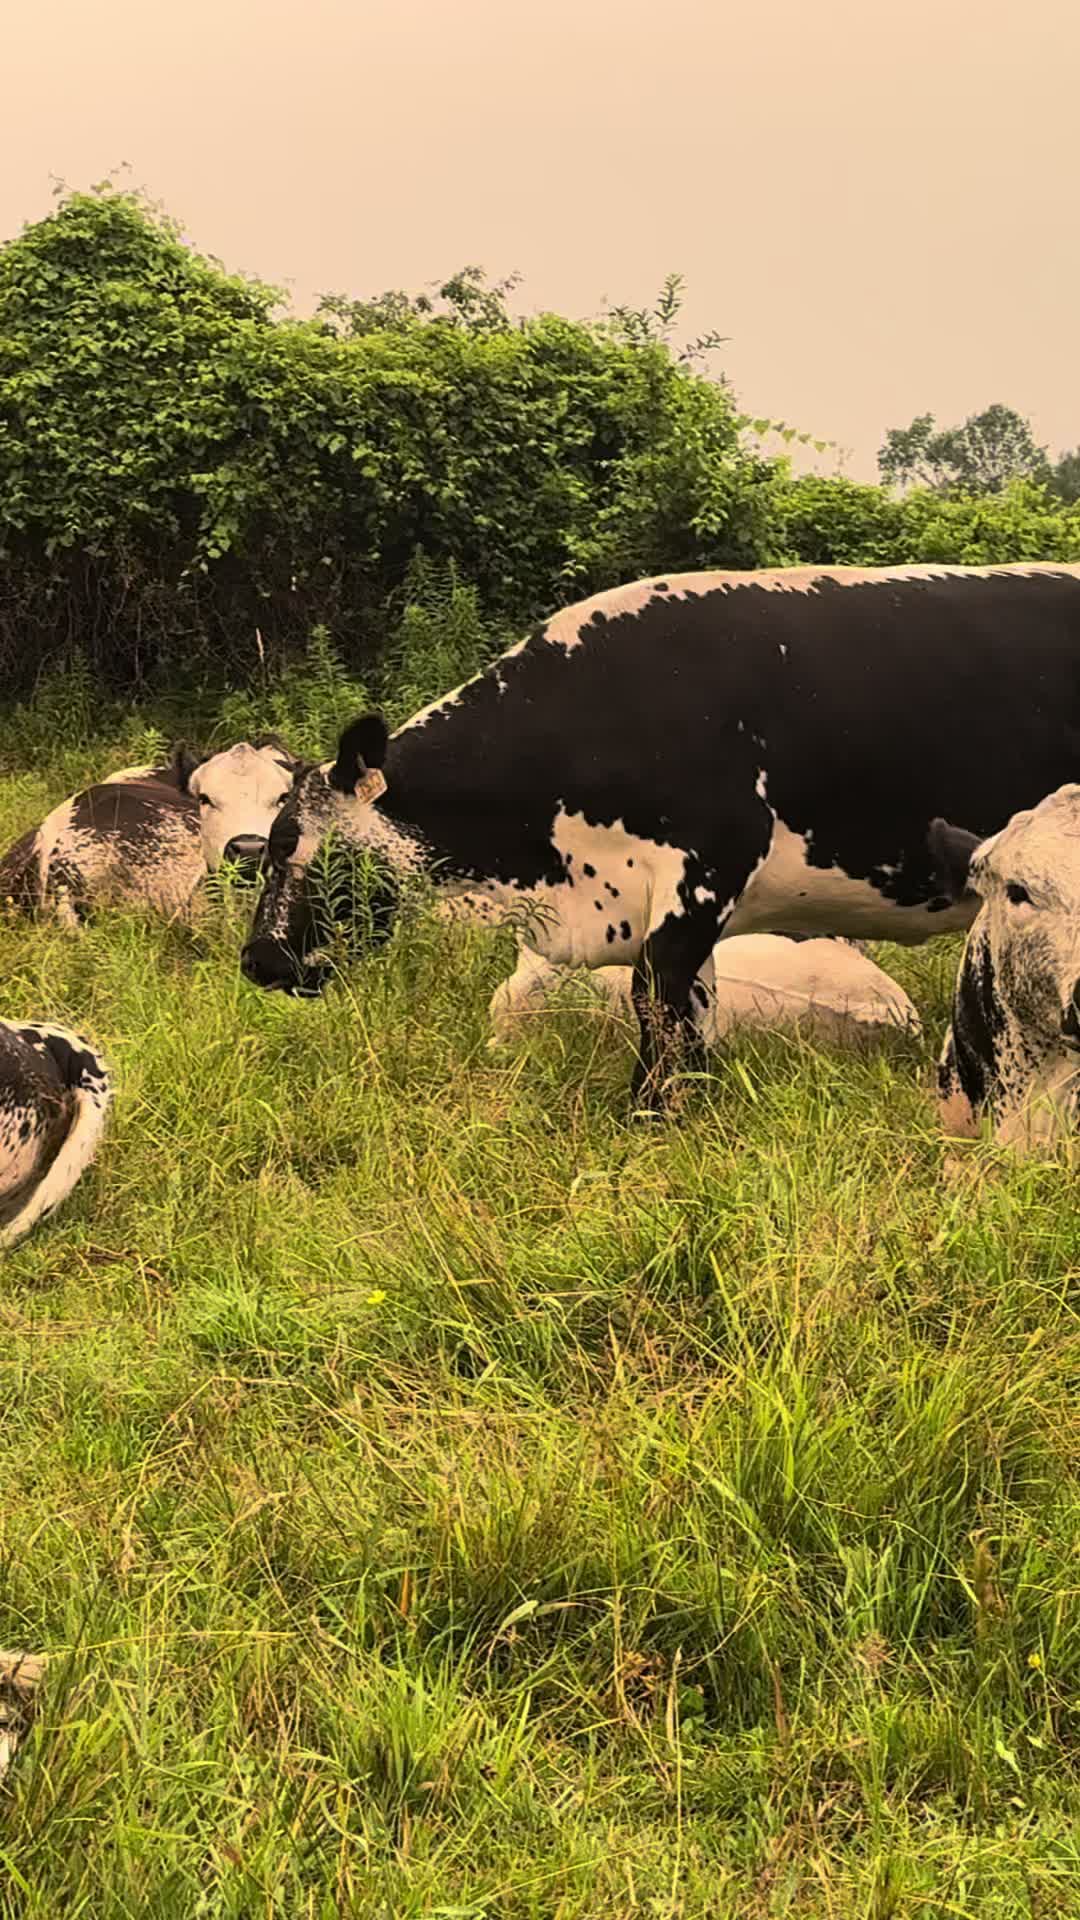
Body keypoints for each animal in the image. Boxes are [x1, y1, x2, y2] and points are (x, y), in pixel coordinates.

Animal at [240, 563, 1080, 1107]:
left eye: (290, 844)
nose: (258, 961)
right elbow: (692, 1009)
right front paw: (692, 1105)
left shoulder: (705, 868)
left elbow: (656, 995)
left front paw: (650, 1113)